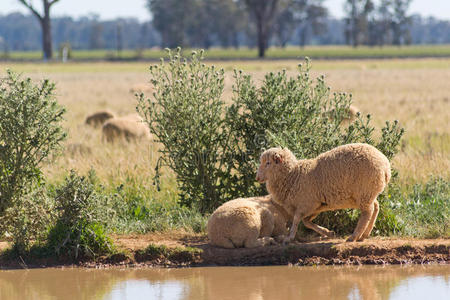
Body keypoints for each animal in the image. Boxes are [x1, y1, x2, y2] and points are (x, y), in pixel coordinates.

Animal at [256, 142, 390, 243]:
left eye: (268, 163)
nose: (257, 178)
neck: (293, 176)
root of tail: (385, 165)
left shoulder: (306, 204)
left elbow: (296, 220)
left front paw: (289, 238)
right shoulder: (315, 206)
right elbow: (306, 222)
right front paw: (328, 233)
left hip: (364, 192)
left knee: (367, 212)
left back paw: (354, 236)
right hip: (368, 192)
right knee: (376, 207)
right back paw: (365, 234)